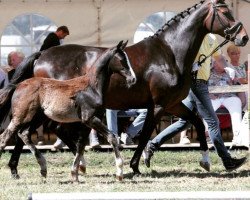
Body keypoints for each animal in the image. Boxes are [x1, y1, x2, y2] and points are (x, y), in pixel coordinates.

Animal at [0, 41, 137, 181]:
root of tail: (18, 86)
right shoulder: (90, 119)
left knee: (24, 134)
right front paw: (119, 173)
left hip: (38, 117)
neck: (91, 87)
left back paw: (43, 168)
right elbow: (112, 137)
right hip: (21, 117)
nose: (133, 79)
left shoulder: (87, 122)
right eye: (122, 60)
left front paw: (75, 173)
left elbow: (81, 146)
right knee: (5, 137)